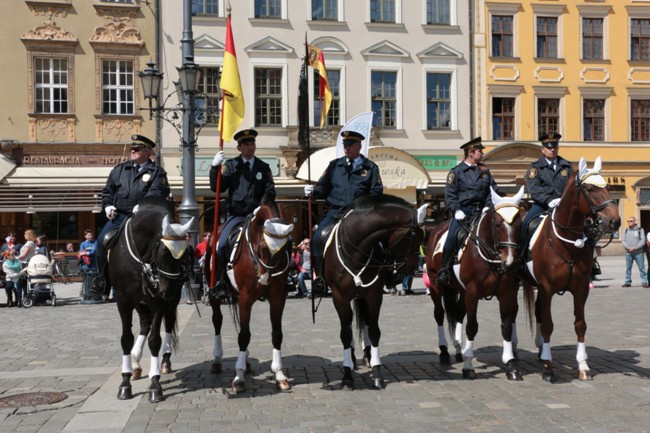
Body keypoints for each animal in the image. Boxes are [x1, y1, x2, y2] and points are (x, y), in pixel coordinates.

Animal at [105, 199, 192, 402]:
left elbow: (155, 340)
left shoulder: (157, 302)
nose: (169, 290)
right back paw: (135, 362)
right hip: (139, 301)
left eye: (185, 253)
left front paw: (155, 384)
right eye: (164, 251)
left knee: (167, 325)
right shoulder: (123, 301)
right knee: (145, 323)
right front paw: (125, 382)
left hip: (167, 302)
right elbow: (126, 339)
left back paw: (164, 362)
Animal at [205, 199, 294, 392]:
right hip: (215, 296)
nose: (264, 278)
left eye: (285, 249)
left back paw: (245, 361)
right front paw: (238, 377)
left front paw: (279, 374)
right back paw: (217, 360)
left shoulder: (277, 298)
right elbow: (244, 335)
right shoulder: (246, 298)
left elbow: (276, 334)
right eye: (263, 247)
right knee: (217, 321)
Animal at [320, 194, 426, 390]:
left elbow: (374, 331)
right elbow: (345, 334)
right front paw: (347, 375)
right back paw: (352, 359)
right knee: (348, 324)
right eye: (413, 235)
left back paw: (368, 356)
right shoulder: (339, 297)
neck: (356, 250)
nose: (412, 266)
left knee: (366, 323)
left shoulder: (374, 295)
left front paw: (377, 372)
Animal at [426, 187, 528, 380]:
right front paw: (468, 366)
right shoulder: (473, 293)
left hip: (461, 290)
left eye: (519, 224)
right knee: (439, 315)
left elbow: (506, 327)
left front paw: (511, 364)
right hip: (436, 285)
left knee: (458, 313)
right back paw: (444, 352)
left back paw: (458, 348)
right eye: (498, 224)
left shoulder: (507, 293)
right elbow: (472, 327)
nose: (510, 263)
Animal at [520, 156, 620, 382]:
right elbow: (548, 324)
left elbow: (580, 324)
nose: (615, 221)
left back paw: (541, 349)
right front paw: (548, 369)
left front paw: (583, 366)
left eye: (608, 187)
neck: (565, 242)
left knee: (538, 312)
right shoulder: (547, 288)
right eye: (590, 189)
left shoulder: (581, 288)